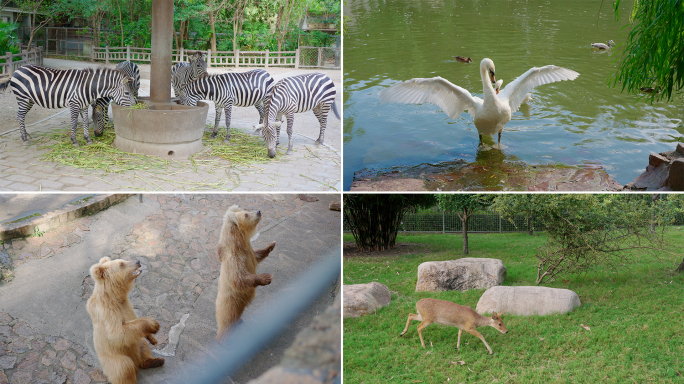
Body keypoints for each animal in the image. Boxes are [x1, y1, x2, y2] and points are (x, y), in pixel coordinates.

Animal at [0, 64, 135, 146]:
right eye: (127, 93)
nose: (135, 106)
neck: (87, 86)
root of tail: (17, 69)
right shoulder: (73, 103)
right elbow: (74, 122)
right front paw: (74, 141)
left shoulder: (84, 105)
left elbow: (85, 122)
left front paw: (88, 139)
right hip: (22, 97)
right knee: (20, 115)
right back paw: (24, 138)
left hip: (29, 100)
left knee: (20, 115)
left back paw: (25, 135)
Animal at [216, 204, 276, 340]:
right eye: (246, 214)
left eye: (246, 210)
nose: (259, 211)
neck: (240, 243)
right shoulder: (235, 259)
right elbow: (238, 278)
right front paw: (266, 277)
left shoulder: (249, 252)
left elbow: (257, 255)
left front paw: (271, 245)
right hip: (230, 302)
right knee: (227, 319)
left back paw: (239, 321)